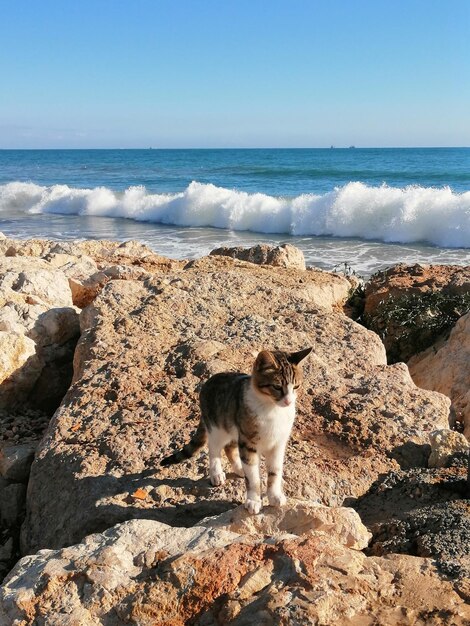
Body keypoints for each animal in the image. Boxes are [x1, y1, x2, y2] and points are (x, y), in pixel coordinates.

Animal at [162, 346, 312, 512]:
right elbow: (253, 478)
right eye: (277, 387)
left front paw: (275, 495)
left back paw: (239, 468)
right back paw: (217, 473)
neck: (272, 409)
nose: (288, 401)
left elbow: (275, 472)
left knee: (229, 447)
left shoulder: (277, 444)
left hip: (235, 429)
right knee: (214, 448)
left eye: (296, 386)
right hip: (218, 428)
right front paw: (254, 500)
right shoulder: (248, 442)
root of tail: (208, 381)